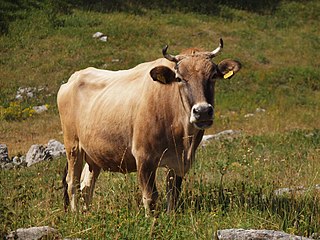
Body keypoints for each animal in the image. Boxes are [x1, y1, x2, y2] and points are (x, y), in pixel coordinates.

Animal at [58, 39, 241, 216]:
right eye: (179, 78)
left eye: (213, 76)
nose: (202, 111)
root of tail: (72, 79)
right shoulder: (144, 157)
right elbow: (151, 197)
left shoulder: (178, 163)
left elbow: (173, 195)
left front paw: (170, 218)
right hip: (73, 146)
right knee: (72, 182)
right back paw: (76, 216)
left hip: (94, 154)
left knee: (86, 185)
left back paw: (87, 214)